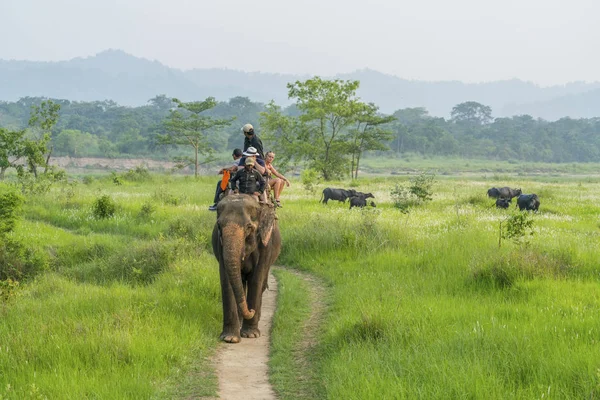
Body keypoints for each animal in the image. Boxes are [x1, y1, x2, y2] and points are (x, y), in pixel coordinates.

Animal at [211, 195, 282, 344]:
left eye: (249, 227)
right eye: (219, 225)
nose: (251, 310)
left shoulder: (266, 244)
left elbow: (256, 280)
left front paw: (250, 335)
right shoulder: (221, 245)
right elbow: (226, 281)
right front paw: (230, 338)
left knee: (261, 284)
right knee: (242, 284)